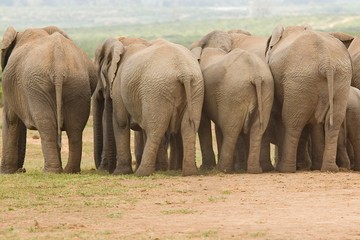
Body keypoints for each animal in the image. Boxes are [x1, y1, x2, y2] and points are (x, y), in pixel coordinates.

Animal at [0, 25, 97, 172]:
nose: (21, 170)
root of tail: (59, 60)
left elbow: (10, 119)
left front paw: (6, 172)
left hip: (37, 85)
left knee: (46, 125)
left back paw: (50, 171)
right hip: (77, 83)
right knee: (75, 127)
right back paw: (68, 170)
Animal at [94, 37, 204, 176]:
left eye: (99, 72)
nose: (103, 170)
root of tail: (184, 71)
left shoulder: (119, 85)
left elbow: (121, 122)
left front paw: (120, 173)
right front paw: (159, 169)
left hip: (156, 89)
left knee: (155, 130)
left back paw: (141, 172)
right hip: (196, 87)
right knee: (188, 128)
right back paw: (191, 172)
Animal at [266, 24, 352, 172]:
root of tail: (327, 62)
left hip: (299, 80)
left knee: (292, 122)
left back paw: (285, 169)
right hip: (341, 79)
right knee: (334, 121)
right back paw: (329, 168)